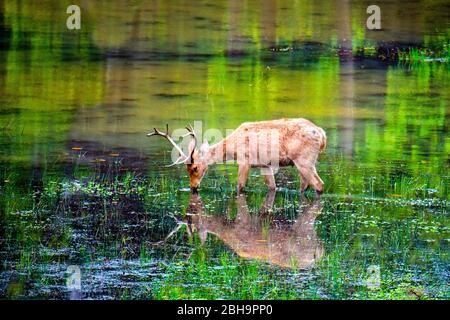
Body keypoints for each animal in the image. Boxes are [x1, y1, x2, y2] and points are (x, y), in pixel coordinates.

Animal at [148, 117, 326, 192]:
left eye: (195, 168)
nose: (193, 187)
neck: (232, 148)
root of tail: (322, 135)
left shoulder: (244, 160)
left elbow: (240, 186)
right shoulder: (264, 165)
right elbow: (272, 187)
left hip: (304, 159)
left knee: (319, 184)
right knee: (304, 185)